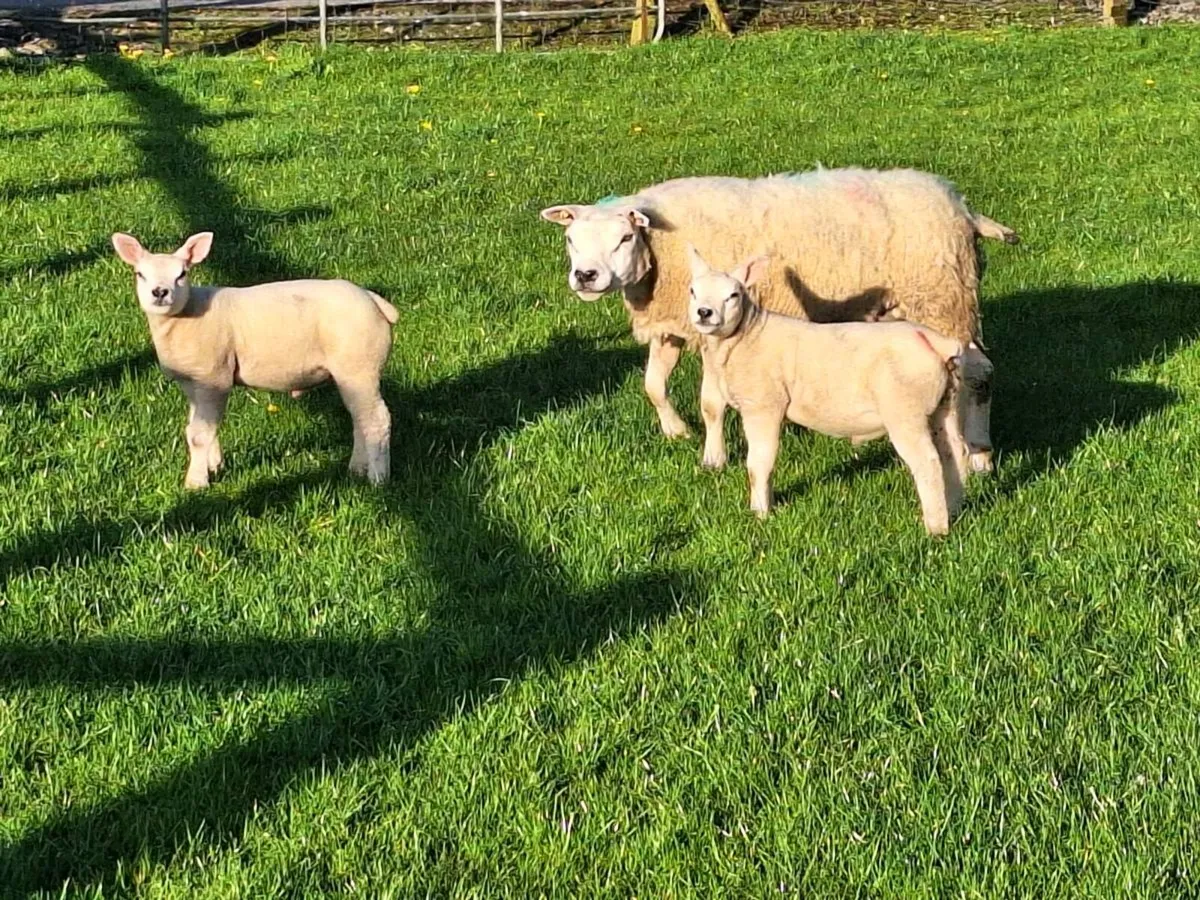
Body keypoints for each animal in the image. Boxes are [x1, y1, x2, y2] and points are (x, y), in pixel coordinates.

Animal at [111, 231, 397, 489]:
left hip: (360, 366)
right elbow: (200, 427)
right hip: (350, 373)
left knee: (377, 419)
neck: (186, 315)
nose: (160, 292)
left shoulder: (214, 377)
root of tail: (374, 300)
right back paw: (357, 469)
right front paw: (213, 465)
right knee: (360, 419)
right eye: (140, 274)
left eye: (182, 274)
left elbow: (199, 435)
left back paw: (378, 478)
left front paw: (196, 483)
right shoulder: (193, 382)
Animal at [540, 167, 1017, 475]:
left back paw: (979, 456)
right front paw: (677, 431)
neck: (661, 249)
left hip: (944, 301)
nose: (585, 276)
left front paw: (715, 458)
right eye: (570, 239)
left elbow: (711, 402)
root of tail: (961, 206)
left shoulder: (715, 328)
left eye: (624, 237)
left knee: (977, 377)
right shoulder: (675, 323)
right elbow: (653, 385)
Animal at [686, 245, 968, 536]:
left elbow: (758, 464)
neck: (746, 336)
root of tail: (936, 342)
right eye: (693, 291)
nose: (704, 312)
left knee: (928, 463)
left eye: (733, 295)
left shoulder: (763, 406)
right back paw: (954, 509)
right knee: (953, 454)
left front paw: (760, 513)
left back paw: (935, 529)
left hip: (905, 410)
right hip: (944, 404)